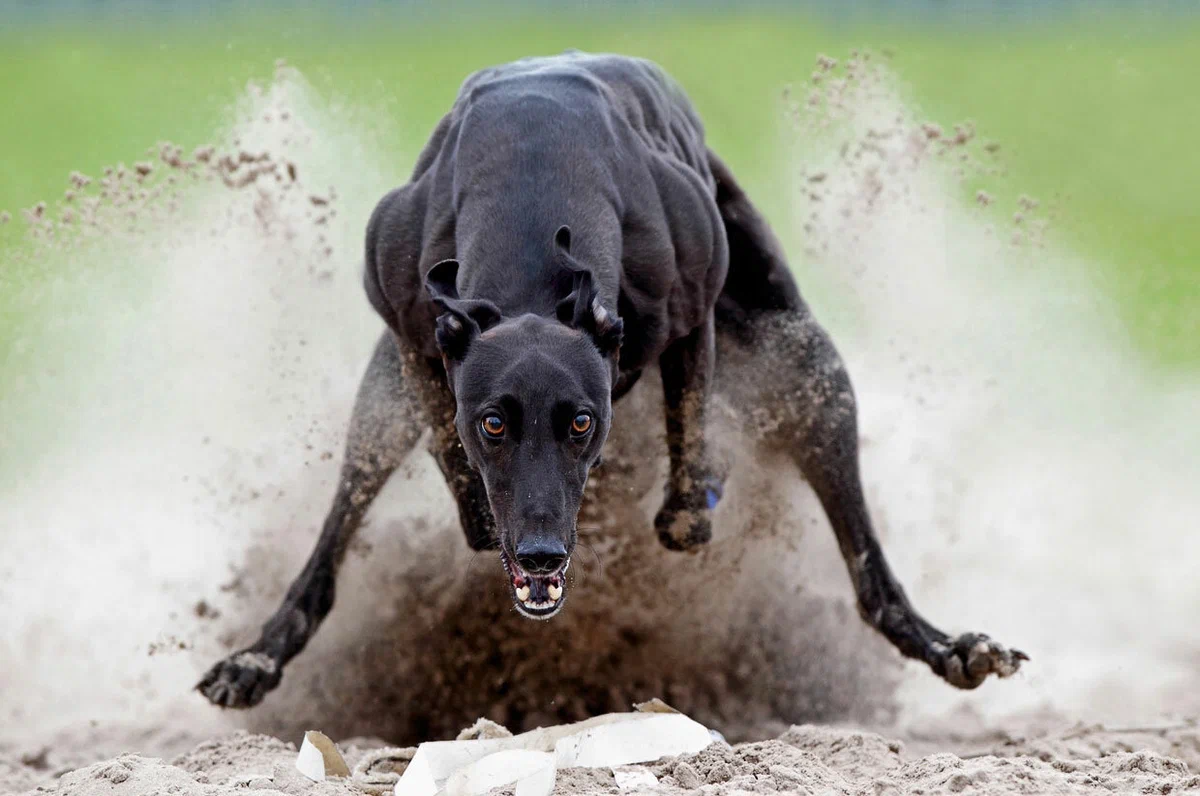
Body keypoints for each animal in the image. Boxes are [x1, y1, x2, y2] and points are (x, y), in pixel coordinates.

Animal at [194, 51, 1022, 710]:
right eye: (492, 422)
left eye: (581, 421)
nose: (539, 556)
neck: (530, 192)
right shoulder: (413, 334)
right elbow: (456, 468)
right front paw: (480, 507)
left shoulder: (692, 321)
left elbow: (686, 502)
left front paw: (698, 489)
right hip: (377, 403)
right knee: (335, 537)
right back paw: (255, 658)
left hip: (808, 368)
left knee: (868, 574)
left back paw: (951, 646)